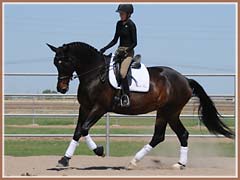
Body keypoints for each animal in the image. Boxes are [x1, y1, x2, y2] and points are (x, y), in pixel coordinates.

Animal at [47, 41, 234, 169]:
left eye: (65, 62)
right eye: (55, 63)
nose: (61, 88)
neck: (94, 74)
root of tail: (185, 79)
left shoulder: (99, 108)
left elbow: (85, 129)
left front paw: (99, 151)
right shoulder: (84, 108)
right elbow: (78, 131)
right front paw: (64, 159)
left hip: (170, 111)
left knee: (167, 135)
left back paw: (138, 161)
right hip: (167, 113)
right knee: (172, 135)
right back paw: (173, 164)